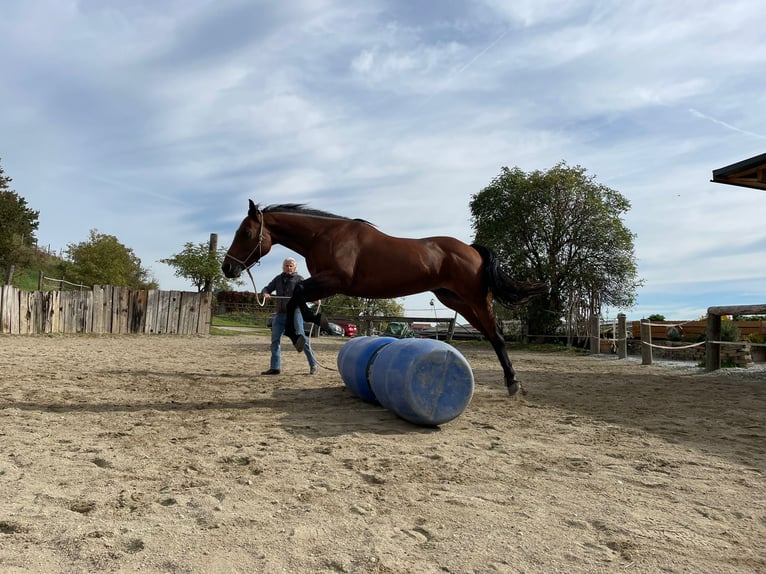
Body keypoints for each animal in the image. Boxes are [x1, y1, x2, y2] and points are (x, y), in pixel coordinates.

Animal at [222, 201, 547, 395]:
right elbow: (299, 300)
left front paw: (303, 333)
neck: (325, 235)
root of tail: (472, 250)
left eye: (246, 232)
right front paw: (316, 325)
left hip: (475, 299)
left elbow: (297, 296)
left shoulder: (335, 281)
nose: (228, 268)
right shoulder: (328, 284)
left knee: (498, 335)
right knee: (491, 335)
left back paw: (513, 383)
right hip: (455, 300)